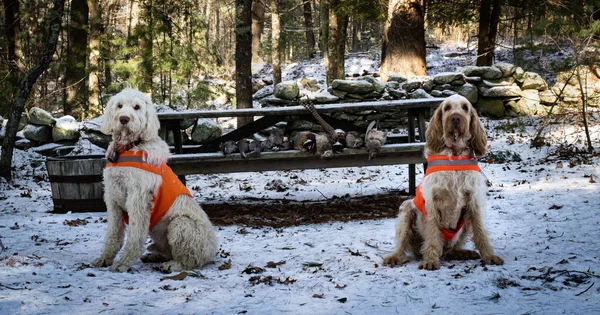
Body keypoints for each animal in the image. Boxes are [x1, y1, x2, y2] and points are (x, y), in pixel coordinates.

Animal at [92, 87, 218, 272]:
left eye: (137, 107)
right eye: (119, 105)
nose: (124, 119)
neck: (128, 148)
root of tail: (212, 252)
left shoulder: (138, 199)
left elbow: (135, 235)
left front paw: (123, 263)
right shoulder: (113, 198)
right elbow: (113, 234)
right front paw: (104, 259)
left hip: (181, 224)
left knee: (190, 261)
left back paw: (172, 265)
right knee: (168, 252)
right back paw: (154, 256)